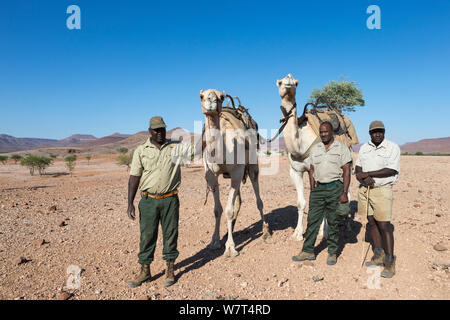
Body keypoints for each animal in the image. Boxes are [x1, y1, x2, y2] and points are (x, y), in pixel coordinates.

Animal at [200, 88, 268, 258]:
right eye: (201, 96)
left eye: (221, 97)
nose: (211, 101)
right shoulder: (210, 175)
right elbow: (217, 210)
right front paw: (215, 241)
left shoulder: (237, 172)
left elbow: (229, 210)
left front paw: (230, 248)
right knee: (238, 199)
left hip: (252, 165)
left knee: (258, 198)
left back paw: (265, 230)